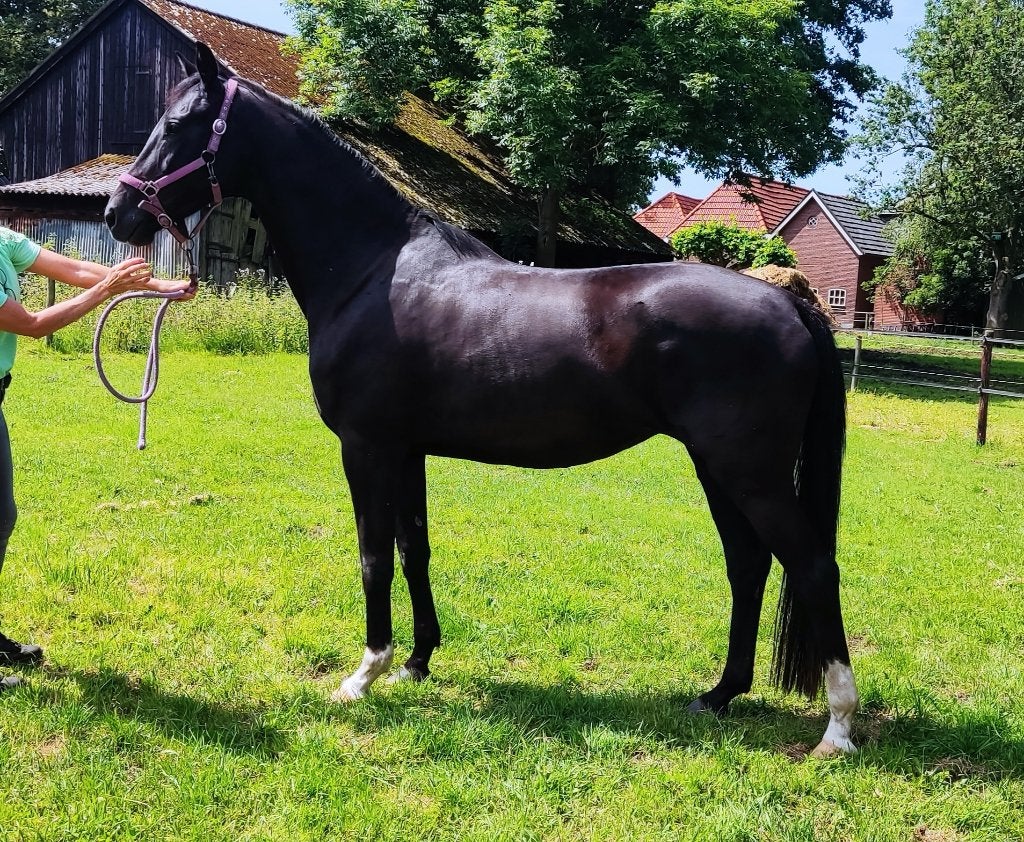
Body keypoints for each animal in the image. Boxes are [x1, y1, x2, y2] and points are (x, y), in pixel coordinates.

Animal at [105, 42, 859, 757]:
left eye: (180, 124)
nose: (117, 212)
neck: (372, 270)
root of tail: (789, 303)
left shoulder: (366, 447)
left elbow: (374, 556)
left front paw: (364, 674)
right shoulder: (406, 450)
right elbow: (415, 548)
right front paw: (416, 661)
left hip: (748, 471)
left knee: (813, 566)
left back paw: (837, 727)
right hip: (719, 469)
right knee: (749, 566)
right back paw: (720, 694)